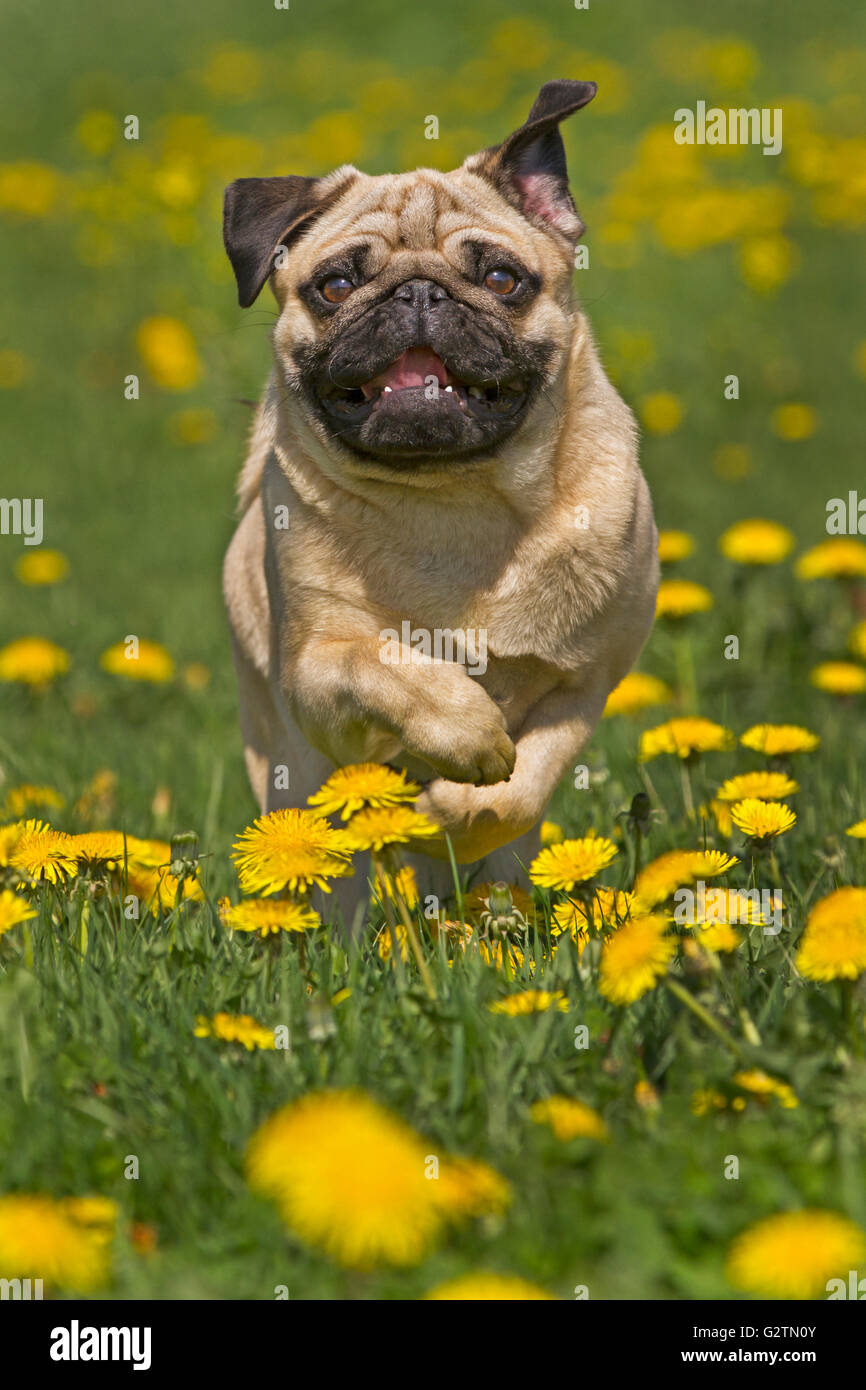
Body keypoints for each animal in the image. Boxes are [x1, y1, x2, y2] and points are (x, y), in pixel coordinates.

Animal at [222, 78, 656, 922]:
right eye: (335, 285)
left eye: (501, 280)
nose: (418, 291)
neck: (455, 499)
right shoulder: (317, 673)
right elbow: (387, 665)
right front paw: (465, 733)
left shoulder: (583, 686)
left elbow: (513, 793)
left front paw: (450, 811)